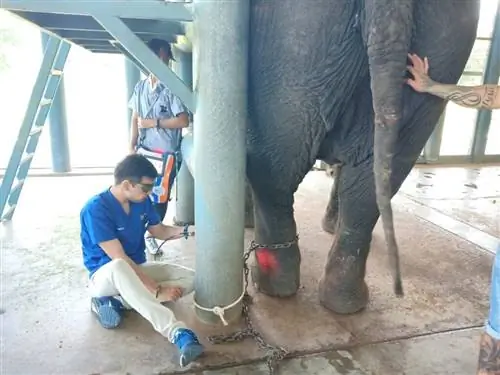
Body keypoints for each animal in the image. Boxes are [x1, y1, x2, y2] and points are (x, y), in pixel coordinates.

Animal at [246, 0, 480, 316]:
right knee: (370, 183)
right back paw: (344, 302)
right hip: (446, 44)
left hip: (292, 38)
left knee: (274, 171)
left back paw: (269, 285)